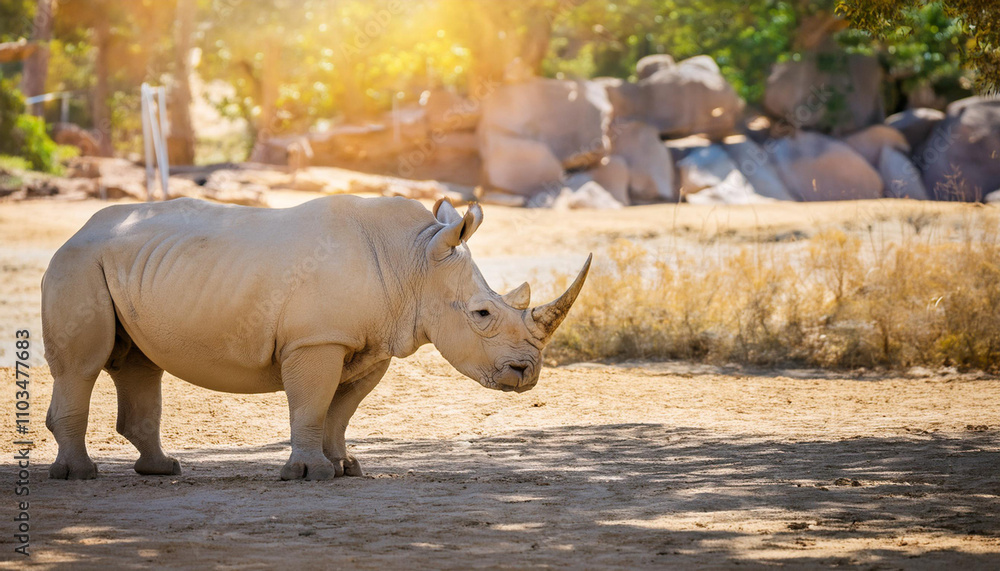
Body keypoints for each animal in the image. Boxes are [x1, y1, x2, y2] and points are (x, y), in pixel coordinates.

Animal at [42, 196, 590, 480]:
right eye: (481, 313)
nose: (527, 375)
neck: (414, 261)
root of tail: (72, 234)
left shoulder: (368, 343)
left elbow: (340, 409)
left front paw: (345, 466)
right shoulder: (316, 340)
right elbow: (310, 403)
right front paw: (309, 474)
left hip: (124, 268)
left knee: (139, 364)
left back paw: (163, 470)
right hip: (78, 266)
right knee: (83, 367)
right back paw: (79, 475)